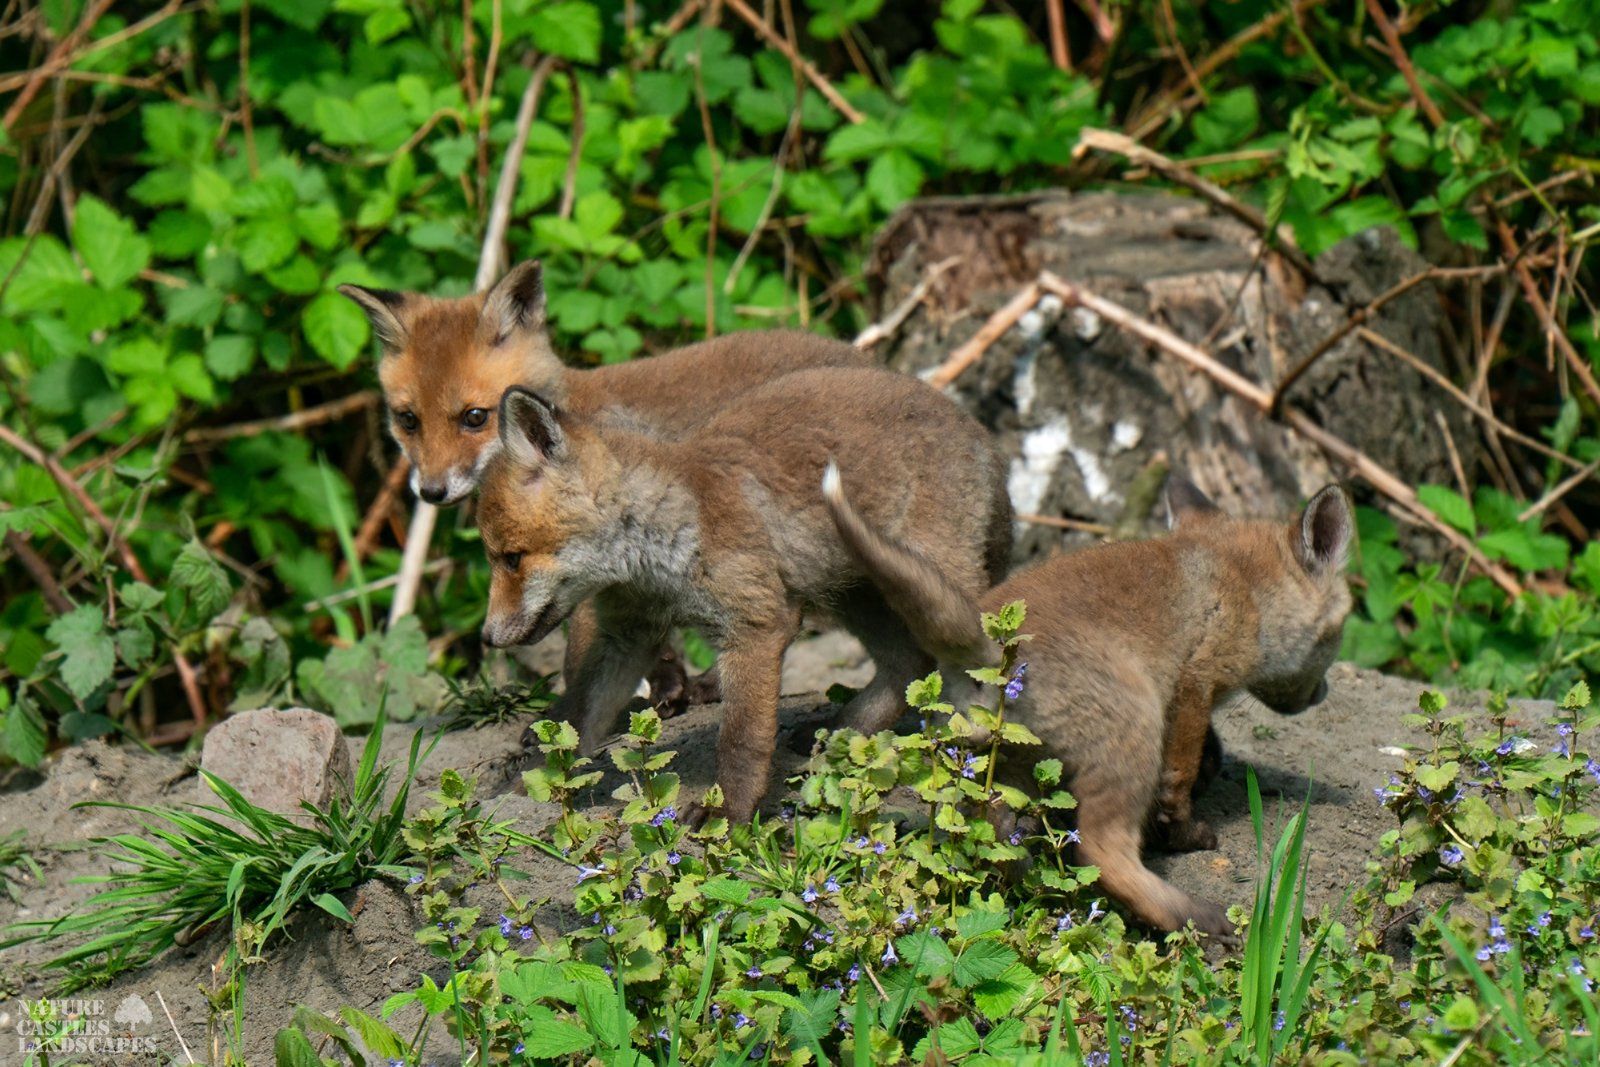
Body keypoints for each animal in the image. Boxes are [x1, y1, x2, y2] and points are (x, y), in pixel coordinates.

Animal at [474, 367, 1013, 823]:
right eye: (496, 557)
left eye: (512, 558)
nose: (486, 638)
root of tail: (980, 434)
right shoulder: (627, 634)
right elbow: (579, 720)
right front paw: (523, 797)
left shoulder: (757, 623)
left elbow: (741, 741)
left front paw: (728, 814)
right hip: (852, 589)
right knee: (907, 662)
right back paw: (845, 731)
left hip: (930, 580)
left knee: (974, 658)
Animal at [823, 470, 1353, 936]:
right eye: (1339, 633)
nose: (1324, 694)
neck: (1242, 582)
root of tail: (989, 638)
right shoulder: (1195, 683)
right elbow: (1177, 781)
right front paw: (1187, 836)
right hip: (1134, 725)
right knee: (1100, 852)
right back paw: (1194, 918)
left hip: (998, 761)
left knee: (993, 832)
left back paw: (1027, 882)